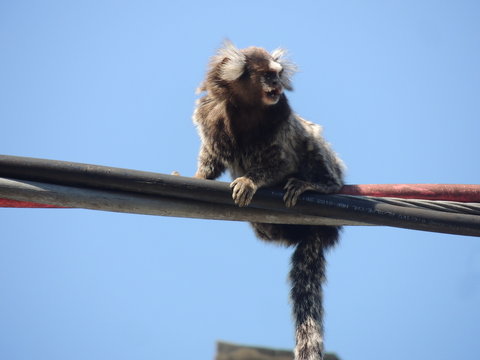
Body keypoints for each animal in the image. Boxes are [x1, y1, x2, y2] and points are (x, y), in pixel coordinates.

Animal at [192, 41, 344, 360]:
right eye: (267, 75)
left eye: (278, 74)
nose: (277, 85)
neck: (245, 109)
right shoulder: (209, 115)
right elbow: (212, 155)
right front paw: (200, 176)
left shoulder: (281, 119)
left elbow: (281, 159)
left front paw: (250, 181)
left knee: (311, 139)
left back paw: (321, 185)